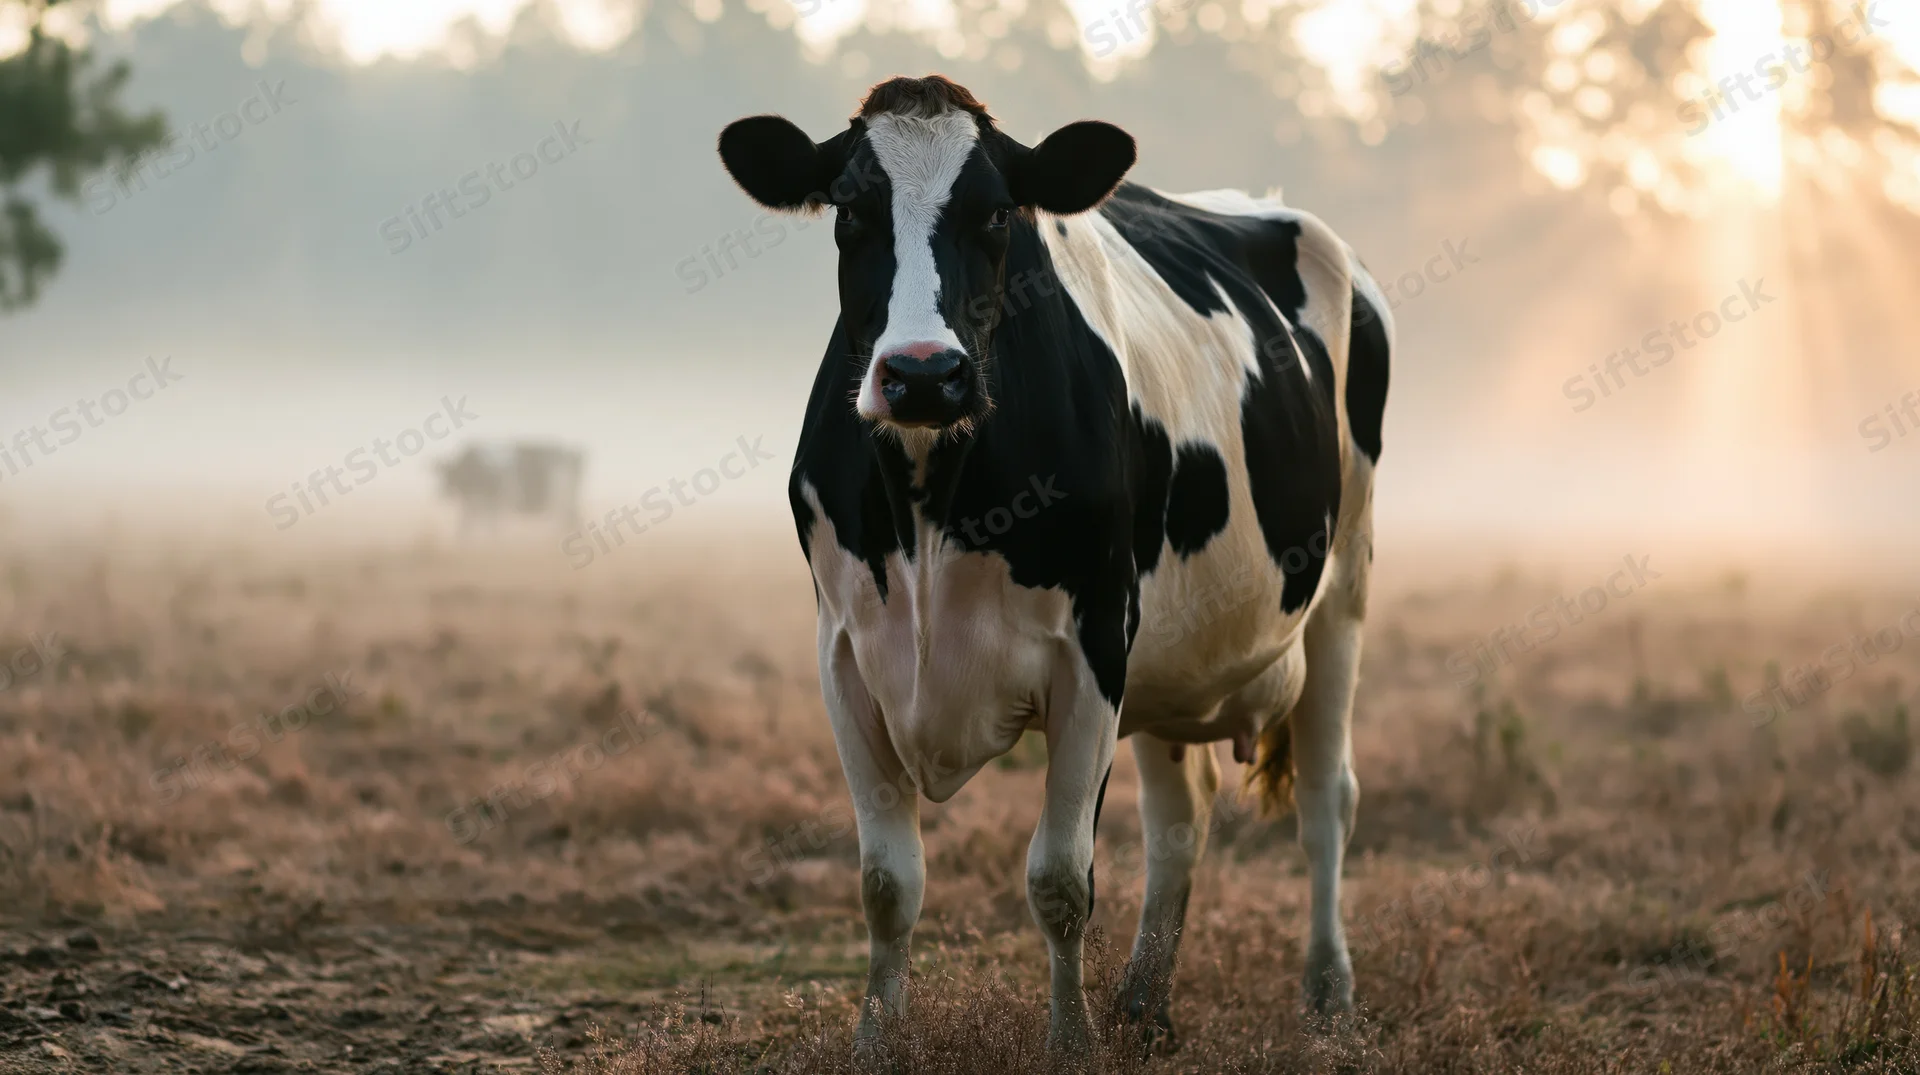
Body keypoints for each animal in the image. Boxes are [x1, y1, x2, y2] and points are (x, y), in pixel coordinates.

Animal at [435, 442, 585, 535]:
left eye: (451, 474)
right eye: (443, 475)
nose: (443, 492)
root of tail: (574, 453)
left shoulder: (493, 502)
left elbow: (482, 526)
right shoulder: (478, 504)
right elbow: (468, 526)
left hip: (561, 499)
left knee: (568, 519)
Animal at [716, 75, 1391, 1058]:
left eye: (998, 212)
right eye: (848, 209)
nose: (925, 375)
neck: (932, 494)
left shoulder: (1094, 649)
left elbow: (1061, 880)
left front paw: (1070, 1044)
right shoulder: (843, 651)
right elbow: (886, 880)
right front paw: (876, 1040)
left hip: (1342, 583)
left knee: (1325, 798)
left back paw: (1329, 993)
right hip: (1172, 655)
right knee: (1180, 817)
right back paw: (1145, 1003)